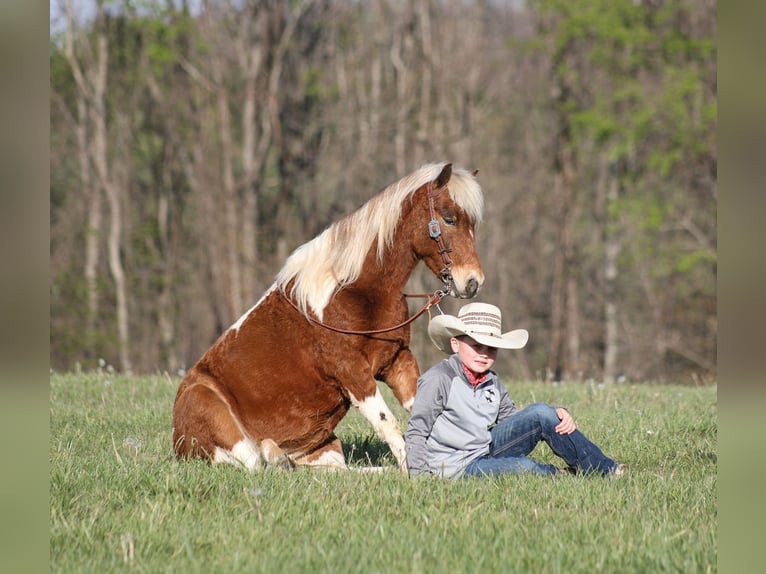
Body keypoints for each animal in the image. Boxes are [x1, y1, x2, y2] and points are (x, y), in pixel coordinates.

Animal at [172, 162, 485, 472]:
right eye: (449, 218)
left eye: (473, 224)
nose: (472, 282)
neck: (354, 291)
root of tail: (178, 443)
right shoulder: (353, 374)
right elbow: (390, 424)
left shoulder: (397, 361)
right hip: (216, 419)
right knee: (256, 465)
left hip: (324, 450)